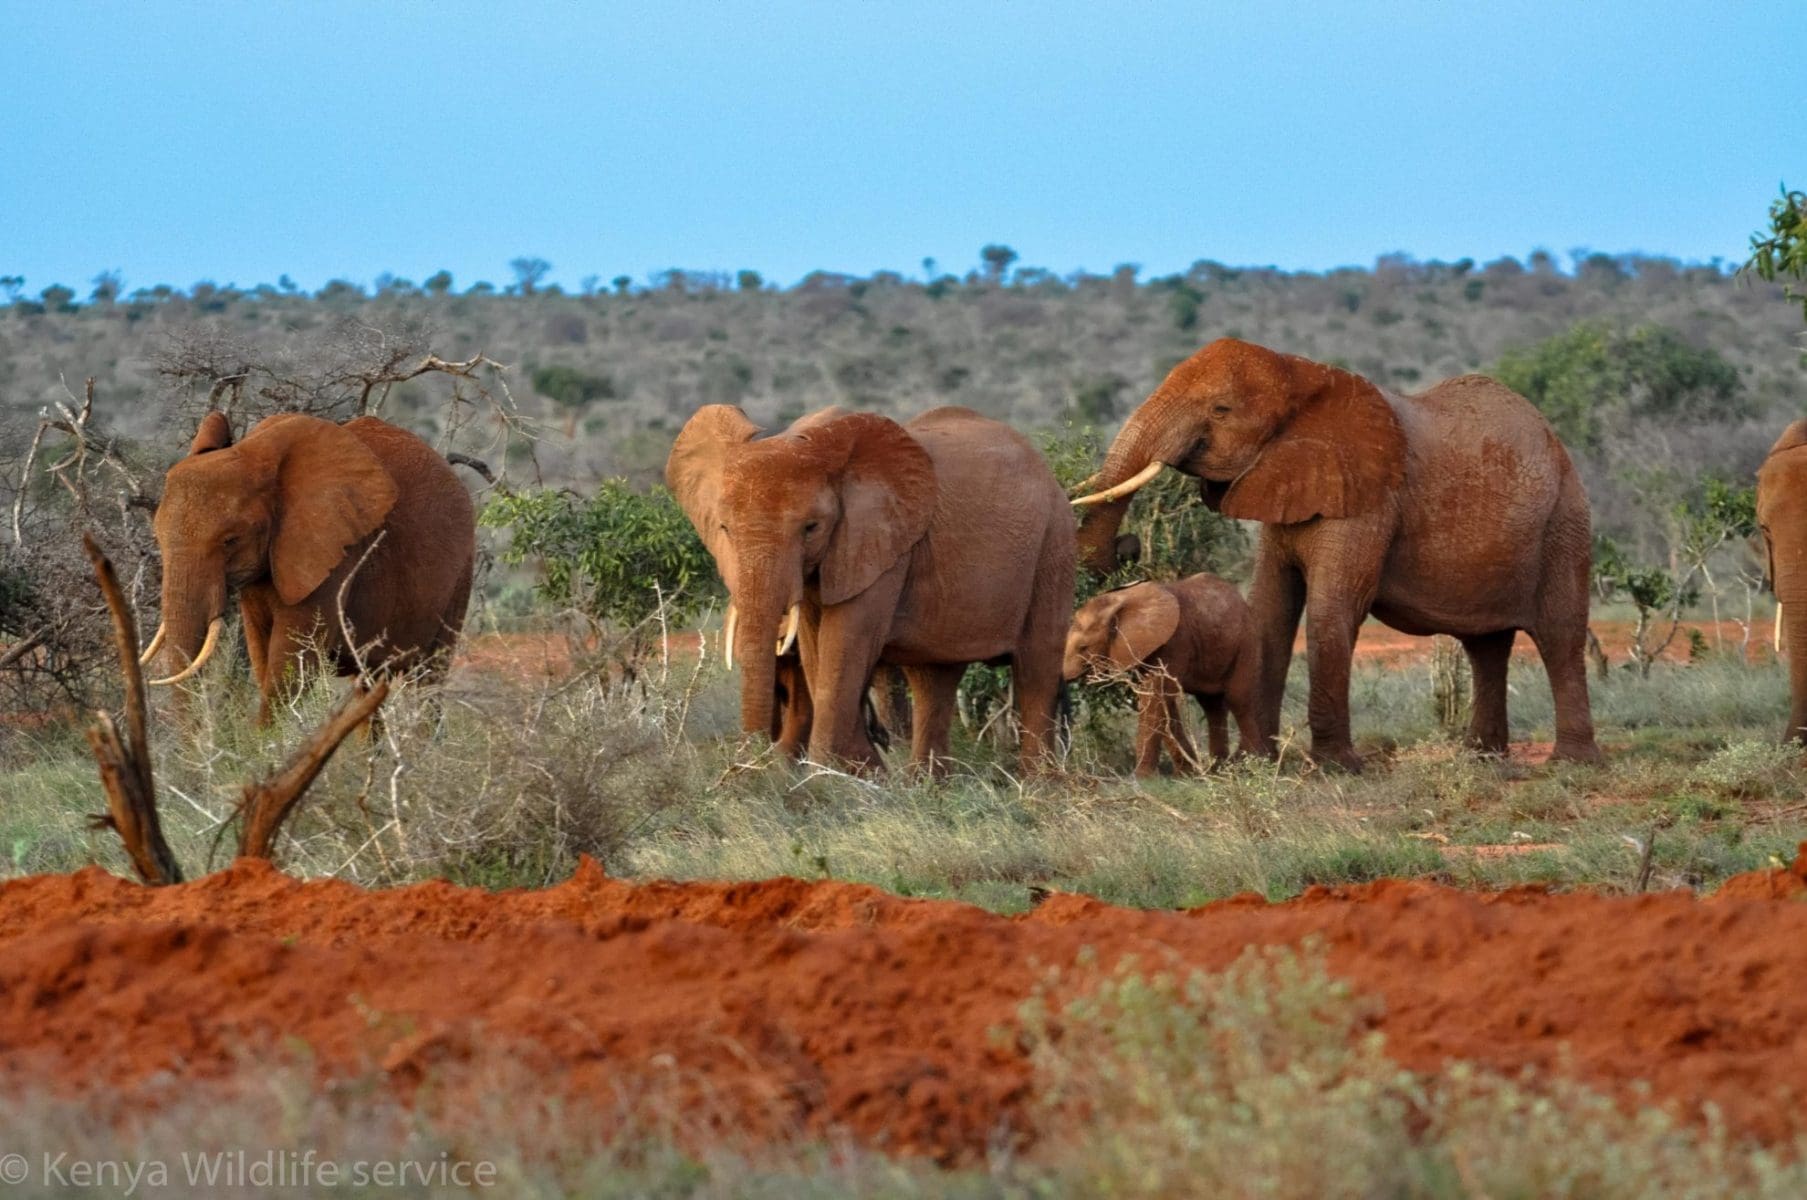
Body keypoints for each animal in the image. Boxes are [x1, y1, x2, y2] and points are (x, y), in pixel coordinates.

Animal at [147, 410, 476, 723]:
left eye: (230, 540)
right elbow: (262, 657)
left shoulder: (333, 557)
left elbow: (291, 668)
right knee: (368, 685)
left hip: (462, 574)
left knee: (428, 681)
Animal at [669, 404, 1074, 771]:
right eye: (724, 529)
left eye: (811, 528)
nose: (748, 770)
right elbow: (816, 650)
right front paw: (862, 772)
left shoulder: (881, 545)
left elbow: (845, 642)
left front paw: (827, 779)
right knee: (934, 678)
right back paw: (926, 787)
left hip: (1053, 543)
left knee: (1036, 667)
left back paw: (1038, 788)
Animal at [1063, 574, 1264, 776]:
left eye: (1083, 647)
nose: (1068, 678)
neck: (1120, 599)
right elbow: (1162, 701)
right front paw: (1187, 774)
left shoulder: (1175, 641)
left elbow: (1157, 697)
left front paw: (1141, 778)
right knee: (1212, 704)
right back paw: (1218, 768)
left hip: (1247, 642)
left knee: (1237, 699)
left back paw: (1244, 763)